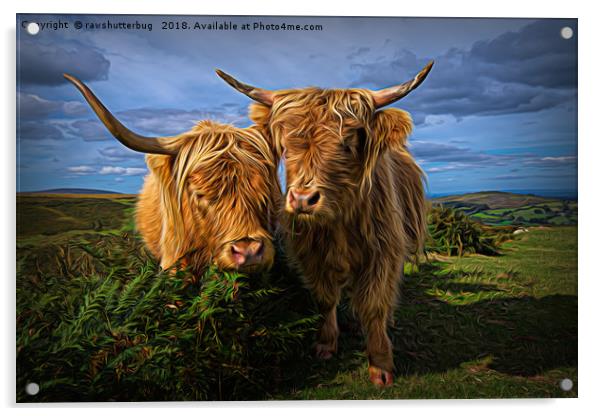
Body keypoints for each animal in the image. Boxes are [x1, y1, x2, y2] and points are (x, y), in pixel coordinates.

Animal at [216, 62, 432, 386]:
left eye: (348, 141)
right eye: (287, 143)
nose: (304, 199)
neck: (338, 220)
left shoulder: (382, 253)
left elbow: (374, 305)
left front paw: (380, 364)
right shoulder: (311, 254)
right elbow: (325, 298)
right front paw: (326, 343)